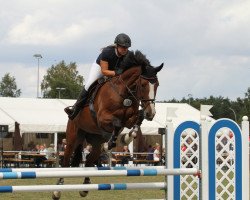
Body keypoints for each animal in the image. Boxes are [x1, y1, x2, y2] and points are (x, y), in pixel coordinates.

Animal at [51, 50, 163, 198]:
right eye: (144, 84)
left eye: (157, 85)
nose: (151, 113)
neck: (123, 93)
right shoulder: (102, 118)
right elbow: (117, 124)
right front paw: (112, 142)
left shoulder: (129, 119)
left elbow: (136, 121)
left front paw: (126, 138)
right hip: (73, 138)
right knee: (65, 161)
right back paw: (57, 190)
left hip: (94, 142)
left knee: (89, 160)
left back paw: (85, 187)